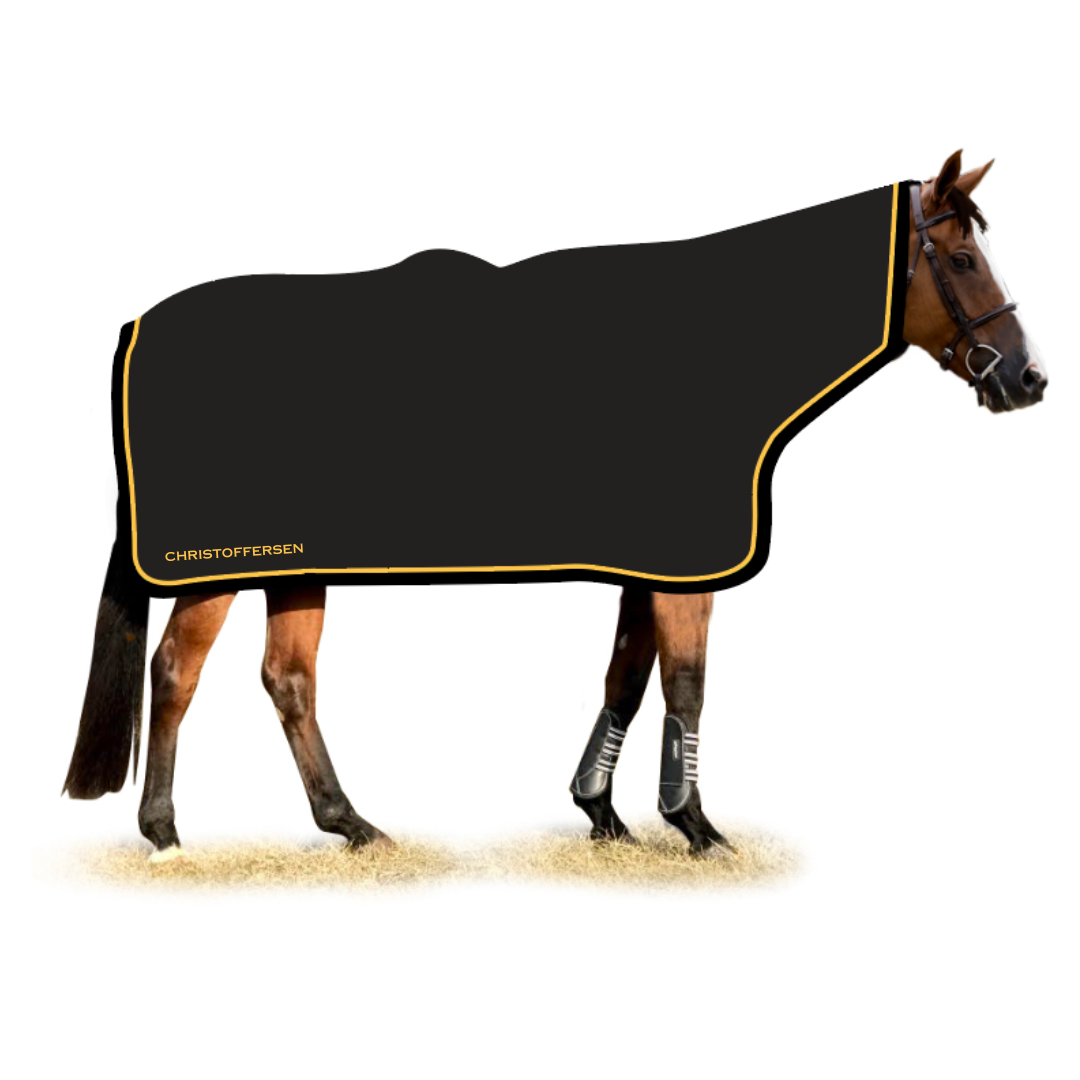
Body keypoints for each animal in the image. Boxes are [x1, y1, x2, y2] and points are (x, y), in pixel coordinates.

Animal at [63, 150, 1048, 861]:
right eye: (963, 259)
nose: (1026, 380)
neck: (711, 349)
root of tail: (140, 328)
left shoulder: (654, 562)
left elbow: (627, 676)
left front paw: (604, 812)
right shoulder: (689, 566)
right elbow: (687, 683)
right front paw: (696, 827)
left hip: (298, 563)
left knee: (289, 681)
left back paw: (353, 825)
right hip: (220, 567)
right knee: (175, 674)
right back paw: (164, 833)